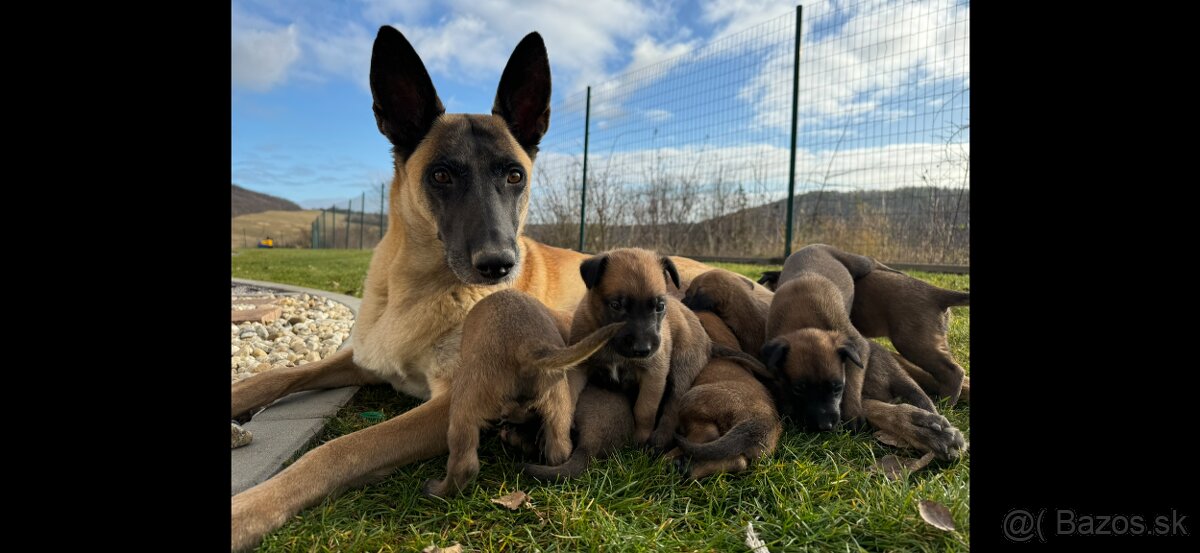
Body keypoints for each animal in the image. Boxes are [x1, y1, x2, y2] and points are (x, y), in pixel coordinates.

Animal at [422, 289, 624, 496]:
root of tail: (527, 346)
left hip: (466, 399)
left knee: (464, 463)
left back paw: (436, 490)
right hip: (558, 401)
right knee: (560, 450)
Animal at [571, 248, 710, 451]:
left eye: (660, 306)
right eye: (616, 305)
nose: (643, 349)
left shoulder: (653, 375)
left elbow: (644, 411)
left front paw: (640, 439)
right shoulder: (579, 367)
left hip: (682, 370)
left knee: (673, 407)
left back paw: (660, 440)